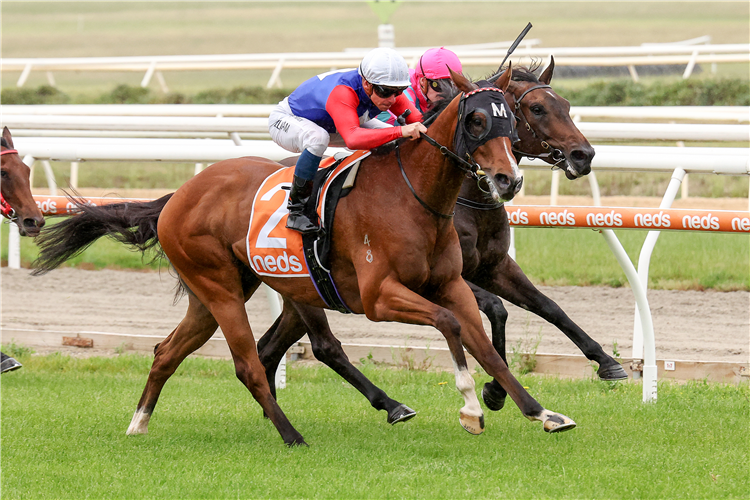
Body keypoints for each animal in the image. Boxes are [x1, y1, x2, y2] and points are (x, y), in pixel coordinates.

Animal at [33, 66, 576, 446]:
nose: (508, 179)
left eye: (511, 118)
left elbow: (485, 344)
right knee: (252, 361)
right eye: (477, 119)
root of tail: (179, 195)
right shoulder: (380, 297)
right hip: (222, 288)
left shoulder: (453, 282)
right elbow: (450, 324)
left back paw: (139, 423)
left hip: (236, 289)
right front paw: (471, 407)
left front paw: (541, 412)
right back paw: (293, 433)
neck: (416, 195)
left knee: (169, 351)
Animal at [258, 59, 628, 426]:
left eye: (565, 104)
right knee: (323, 345)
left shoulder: (495, 266)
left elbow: (548, 306)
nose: (583, 155)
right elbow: (496, 308)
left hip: (307, 289)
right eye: (536, 108)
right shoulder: (450, 278)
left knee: (269, 344)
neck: (465, 198)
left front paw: (606, 361)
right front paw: (495, 391)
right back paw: (389, 405)